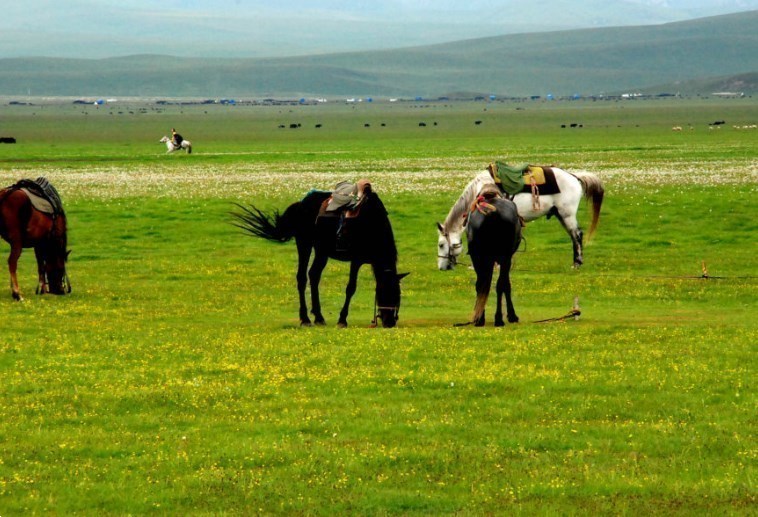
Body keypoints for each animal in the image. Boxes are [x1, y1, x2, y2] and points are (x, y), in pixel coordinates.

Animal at [232, 181, 410, 326]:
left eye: (398, 295)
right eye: (385, 292)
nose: (390, 322)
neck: (372, 224)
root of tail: (300, 205)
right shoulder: (356, 259)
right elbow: (351, 287)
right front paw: (342, 320)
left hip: (321, 251)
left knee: (314, 275)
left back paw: (319, 317)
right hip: (304, 244)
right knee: (302, 277)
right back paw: (305, 319)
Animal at [440, 166, 604, 270]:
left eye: (441, 245)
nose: (442, 268)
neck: (481, 189)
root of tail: (574, 177)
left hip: (567, 215)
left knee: (577, 235)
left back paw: (577, 263)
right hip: (561, 215)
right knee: (573, 235)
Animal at [466, 188, 524, 326]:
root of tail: (492, 213)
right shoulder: (506, 260)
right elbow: (506, 285)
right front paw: (511, 315)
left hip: (478, 258)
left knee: (481, 284)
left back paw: (480, 319)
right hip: (502, 258)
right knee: (499, 285)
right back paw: (498, 318)